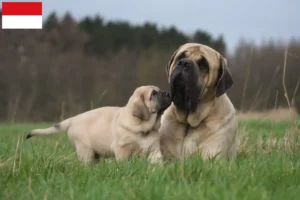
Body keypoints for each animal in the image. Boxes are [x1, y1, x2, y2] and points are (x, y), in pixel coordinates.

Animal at [26, 85, 171, 163]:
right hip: (85, 151)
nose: (168, 93)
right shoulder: (122, 150)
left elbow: (157, 162)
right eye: (153, 94)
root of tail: (73, 119)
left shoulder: (154, 150)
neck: (143, 128)